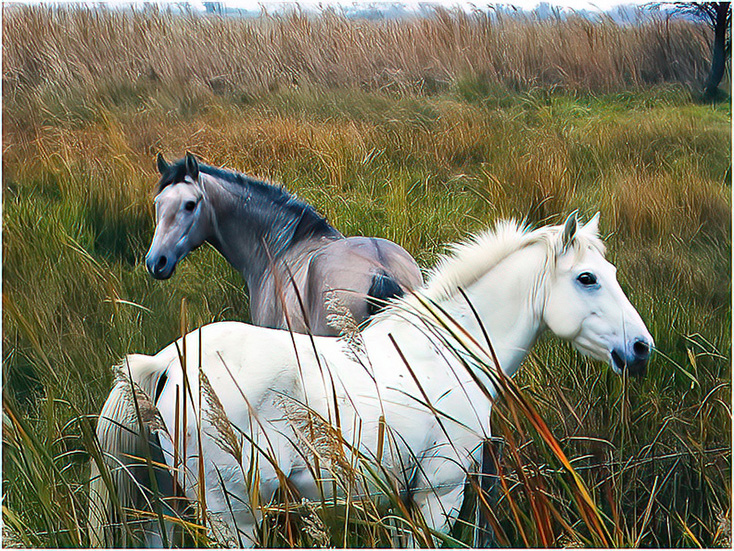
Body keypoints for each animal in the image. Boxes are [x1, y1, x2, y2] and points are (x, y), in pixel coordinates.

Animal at [90, 213, 656, 544]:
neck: (441, 353)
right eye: (587, 278)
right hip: (233, 515)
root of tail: (165, 363)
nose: (640, 349)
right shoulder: (439, 495)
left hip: (168, 508)